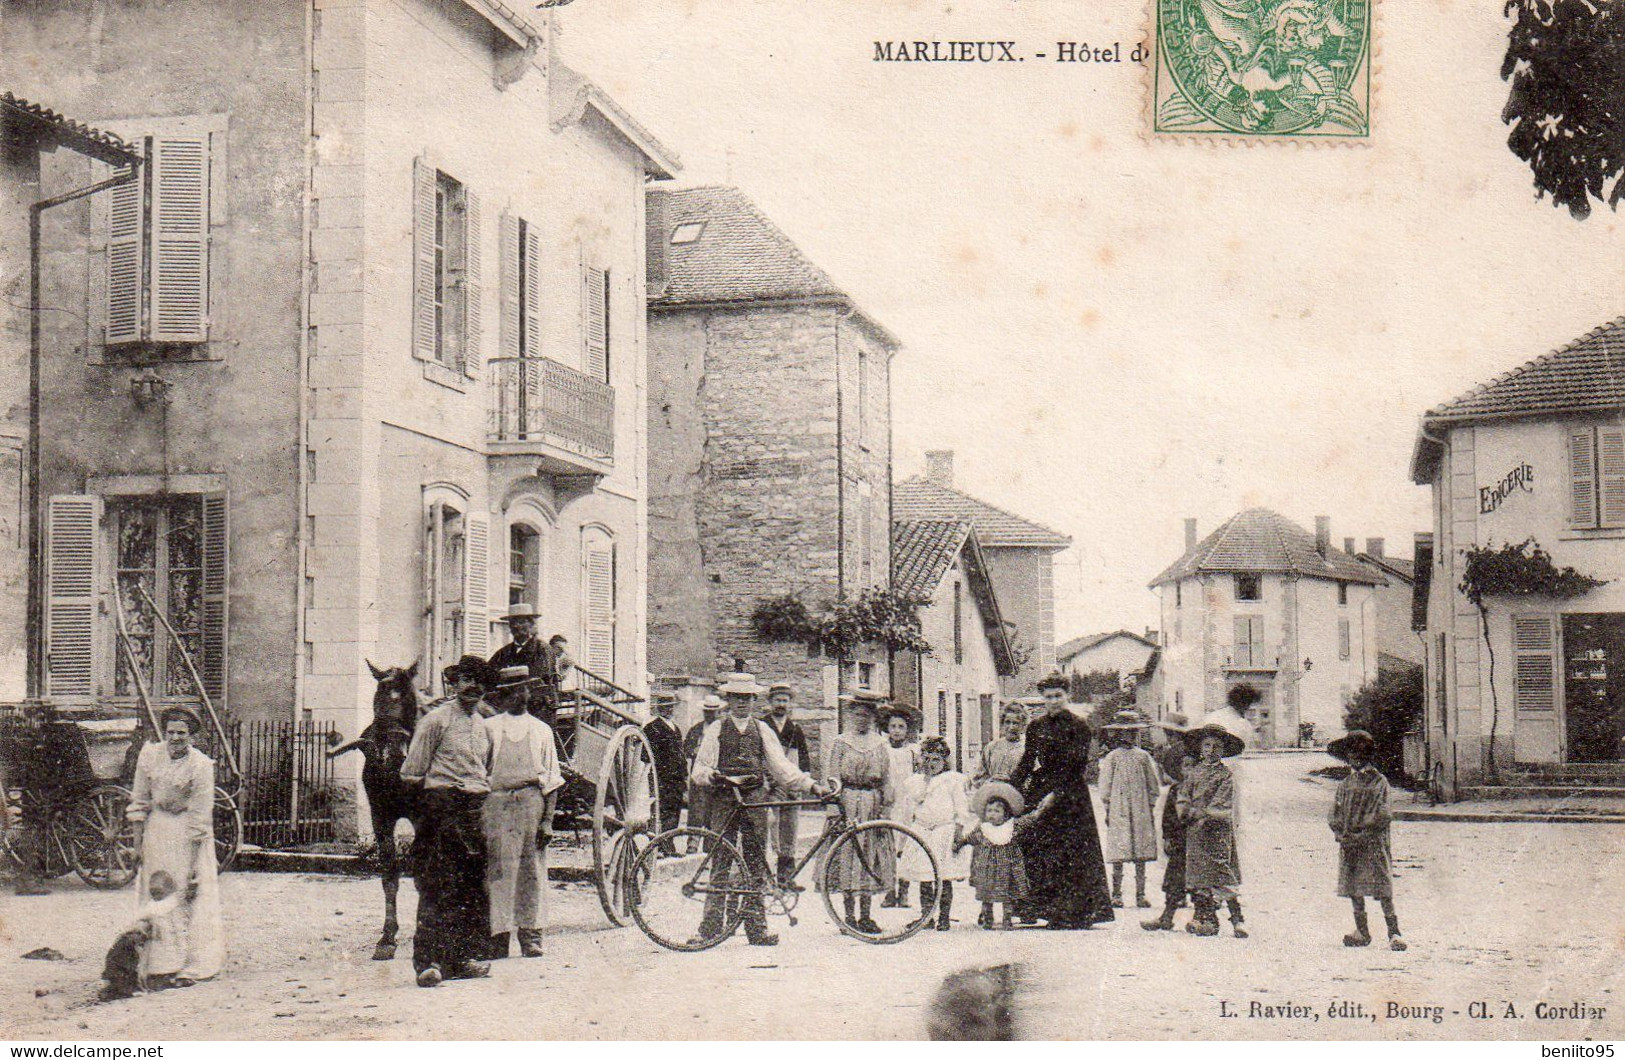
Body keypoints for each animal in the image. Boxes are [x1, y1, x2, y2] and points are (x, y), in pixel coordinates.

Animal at [326, 656, 419, 955]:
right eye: (378, 694)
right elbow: (389, 873)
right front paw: (388, 936)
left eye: (409, 695)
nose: (390, 751)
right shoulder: (381, 817)